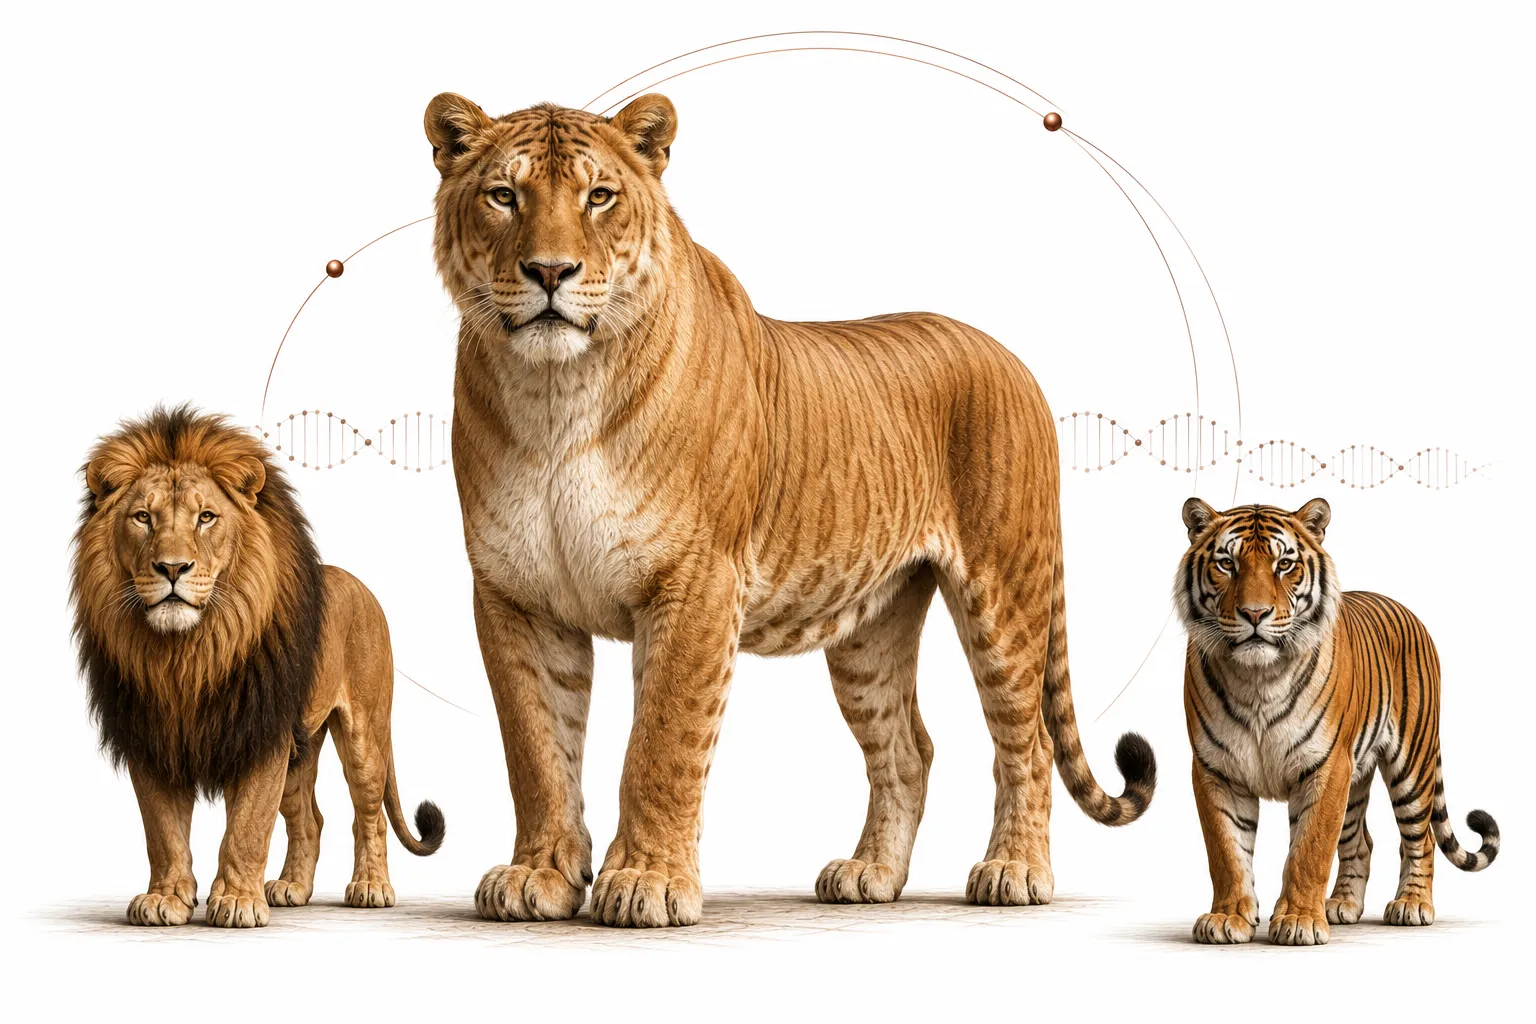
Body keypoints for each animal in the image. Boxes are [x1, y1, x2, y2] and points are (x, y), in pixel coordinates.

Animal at [71, 406, 445, 928]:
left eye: (206, 517)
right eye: (143, 517)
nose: (172, 568)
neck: (187, 655)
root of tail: (359, 584)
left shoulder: (261, 732)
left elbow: (247, 826)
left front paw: (236, 901)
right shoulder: (151, 735)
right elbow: (162, 831)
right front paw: (167, 898)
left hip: (364, 735)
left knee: (367, 815)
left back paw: (371, 887)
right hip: (300, 748)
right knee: (310, 818)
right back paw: (291, 887)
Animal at [424, 91, 1157, 927]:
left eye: (598, 196)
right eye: (503, 195)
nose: (550, 270)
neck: (553, 397)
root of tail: (1015, 360)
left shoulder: (696, 583)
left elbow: (662, 743)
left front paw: (645, 882)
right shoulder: (515, 595)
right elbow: (536, 748)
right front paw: (538, 877)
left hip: (1005, 589)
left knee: (1026, 740)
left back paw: (1014, 871)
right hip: (873, 625)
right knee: (908, 747)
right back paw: (870, 873)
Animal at [1175, 496, 1499, 945]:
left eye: (1284, 564)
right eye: (1227, 563)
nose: (1255, 614)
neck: (1257, 679)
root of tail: (1405, 608)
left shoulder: (1327, 767)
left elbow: (1310, 849)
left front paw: (1298, 921)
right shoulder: (1215, 769)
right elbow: (1226, 851)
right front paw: (1228, 918)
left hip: (1412, 765)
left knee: (1420, 839)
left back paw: (1412, 904)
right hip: (1356, 778)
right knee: (1361, 842)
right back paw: (1342, 904)